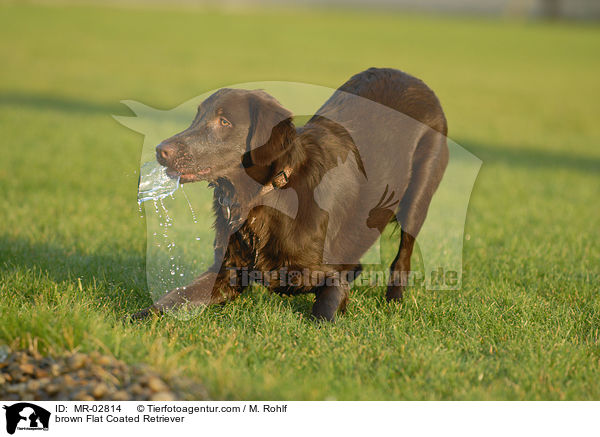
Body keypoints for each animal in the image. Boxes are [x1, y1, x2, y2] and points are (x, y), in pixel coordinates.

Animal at [132, 67, 450, 320]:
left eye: (224, 122)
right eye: (197, 117)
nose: (161, 150)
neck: (264, 196)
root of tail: (412, 79)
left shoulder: (328, 274)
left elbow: (324, 309)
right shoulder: (228, 270)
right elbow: (175, 297)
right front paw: (134, 318)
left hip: (418, 195)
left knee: (403, 257)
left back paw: (394, 302)